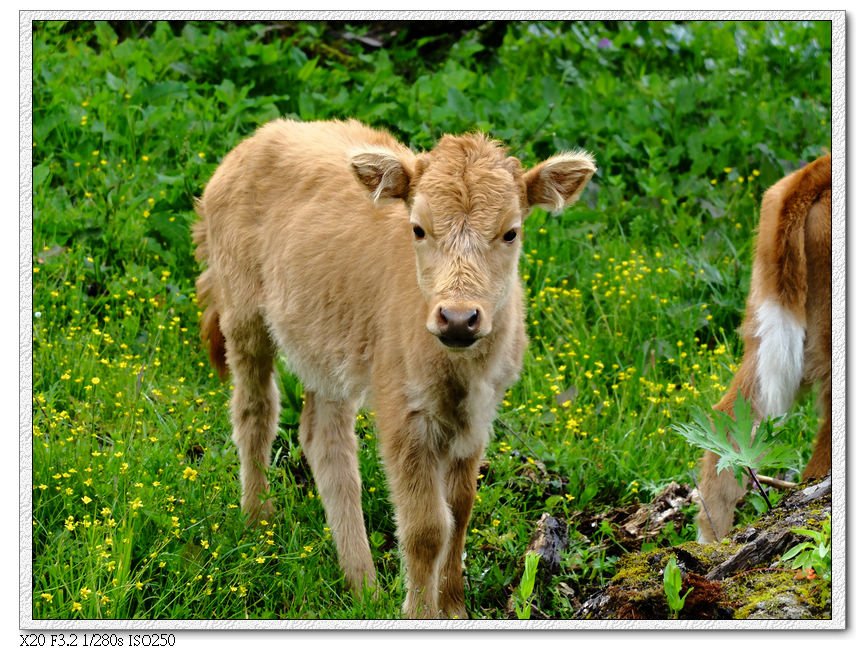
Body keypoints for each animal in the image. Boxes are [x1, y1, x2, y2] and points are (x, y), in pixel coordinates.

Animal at [191, 119, 592, 616]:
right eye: (418, 229)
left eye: (510, 233)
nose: (457, 318)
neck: (456, 370)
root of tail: (258, 140)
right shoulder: (404, 414)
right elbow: (427, 528)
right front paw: (421, 612)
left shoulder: (478, 417)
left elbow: (460, 508)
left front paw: (454, 606)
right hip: (243, 316)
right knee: (255, 410)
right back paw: (257, 522)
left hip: (327, 350)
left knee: (324, 439)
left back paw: (362, 585)